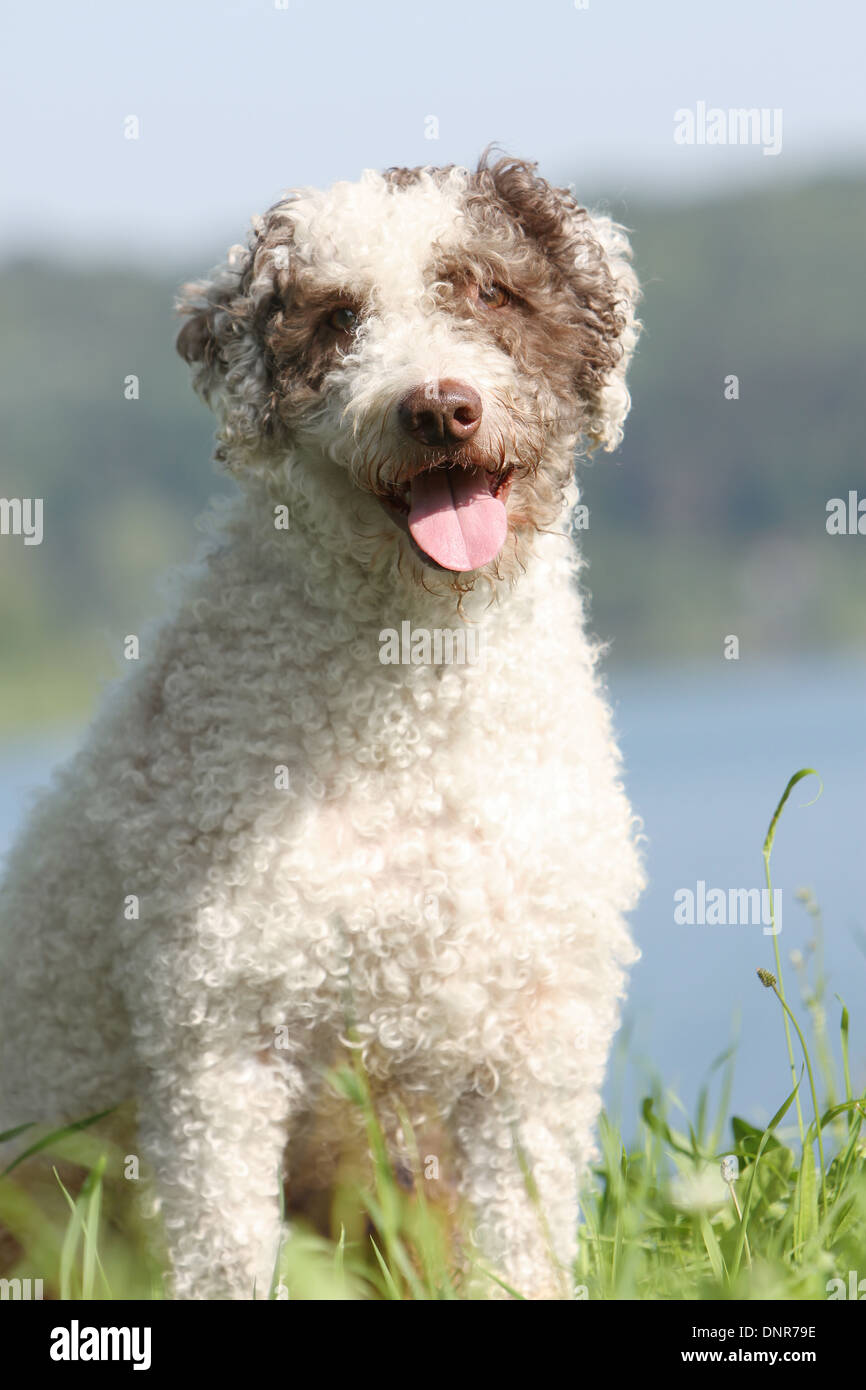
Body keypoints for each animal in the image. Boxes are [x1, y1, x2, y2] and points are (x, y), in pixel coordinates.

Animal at [0, 154, 644, 1301]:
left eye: (488, 290)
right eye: (339, 319)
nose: (438, 409)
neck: (413, 711)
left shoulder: (537, 1040)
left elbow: (520, 1236)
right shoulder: (220, 1034)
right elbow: (222, 1242)